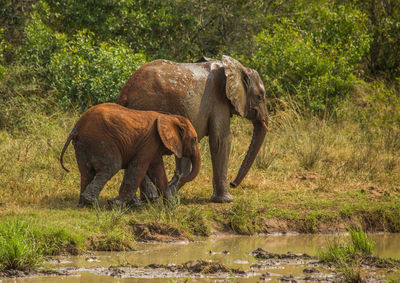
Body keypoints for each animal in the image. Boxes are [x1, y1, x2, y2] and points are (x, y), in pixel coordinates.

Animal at [59, 103, 200, 207]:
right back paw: (92, 202)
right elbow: (138, 168)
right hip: (100, 140)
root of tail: (77, 127)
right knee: (112, 166)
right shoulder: (150, 142)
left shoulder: (154, 145)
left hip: (82, 144)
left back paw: (84, 204)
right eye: (194, 140)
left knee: (86, 172)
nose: (178, 174)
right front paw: (116, 204)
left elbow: (158, 172)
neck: (169, 117)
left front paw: (171, 207)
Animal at [117, 55, 268, 203]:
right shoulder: (218, 100)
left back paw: (143, 200)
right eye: (260, 97)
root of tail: (124, 94)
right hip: (146, 109)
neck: (236, 68)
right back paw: (150, 197)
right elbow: (220, 141)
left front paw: (173, 192)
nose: (233, 184)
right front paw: (226, 200)